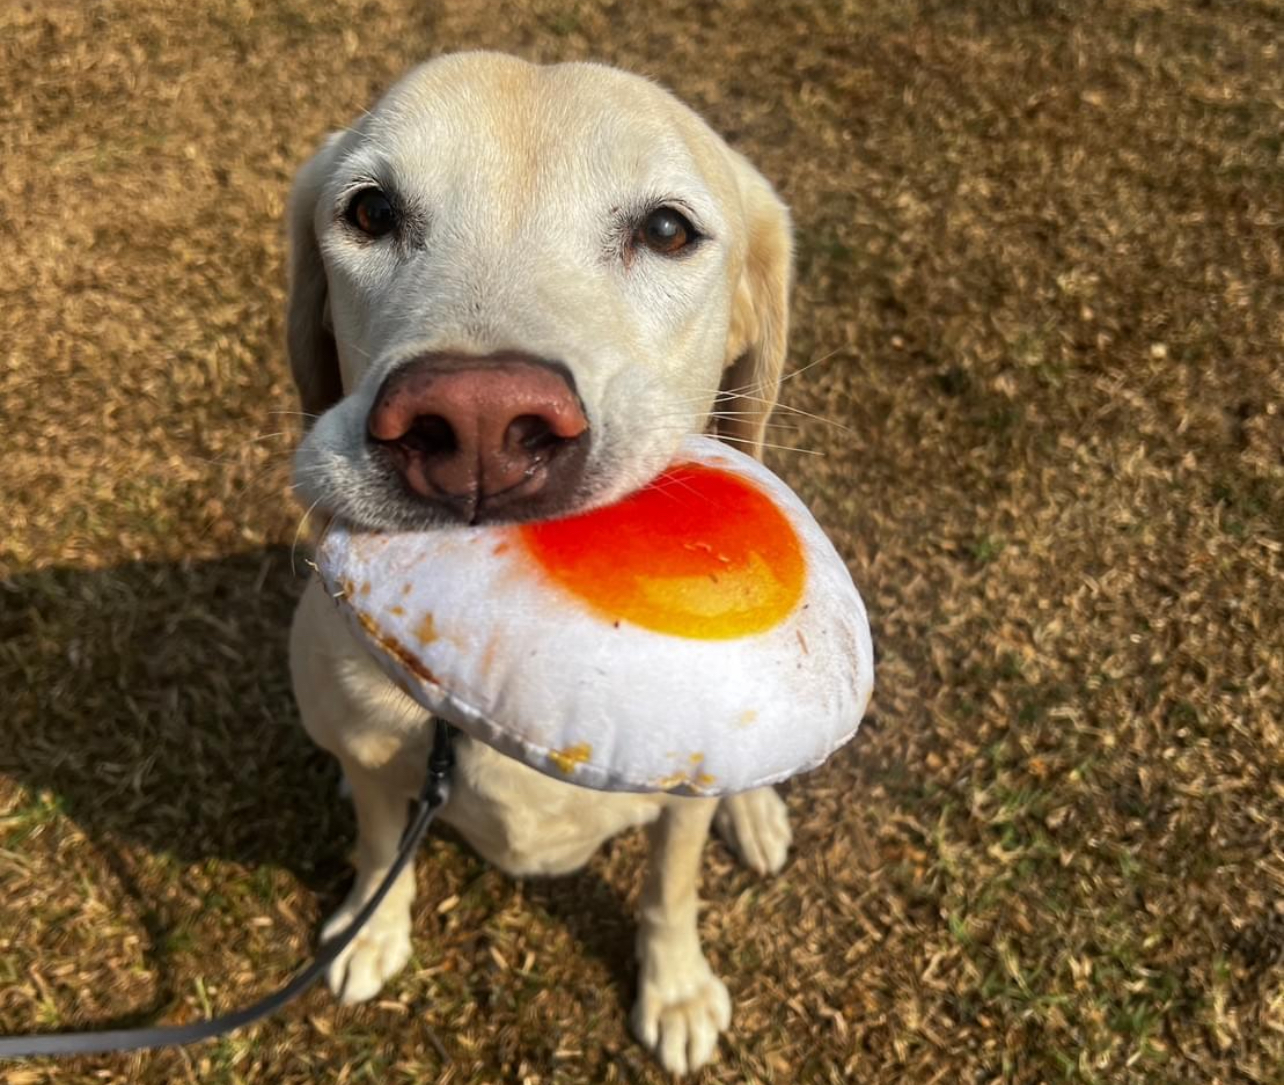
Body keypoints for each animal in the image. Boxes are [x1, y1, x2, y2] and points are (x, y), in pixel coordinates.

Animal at [287, 52, 796, 1073]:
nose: (478, 424)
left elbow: (670, 888)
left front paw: (676, 988)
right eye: (370, 212)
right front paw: (370, 928)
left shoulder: (677, 811)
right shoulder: (373, 757)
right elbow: (377, 843)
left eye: (667, 229)